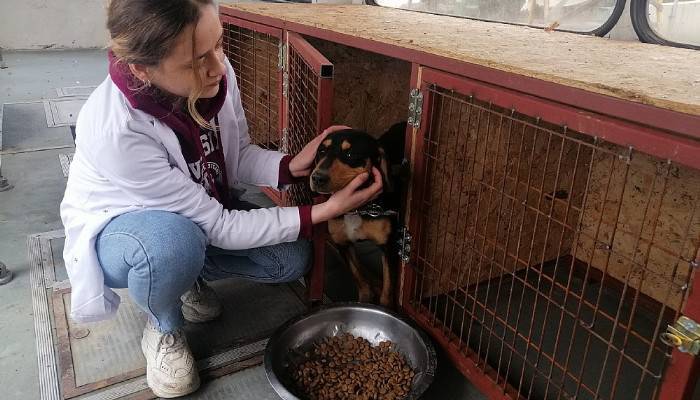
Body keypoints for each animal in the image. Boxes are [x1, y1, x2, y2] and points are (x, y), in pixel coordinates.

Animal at [310, 123, 404, 308]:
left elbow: (388, 289)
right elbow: (358, 276)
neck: (358, 209)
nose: (317, 178)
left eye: (350, 154)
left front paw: (384, 307)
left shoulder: (389, 247)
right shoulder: (342, 243)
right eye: (321, 152)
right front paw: (365, 298)